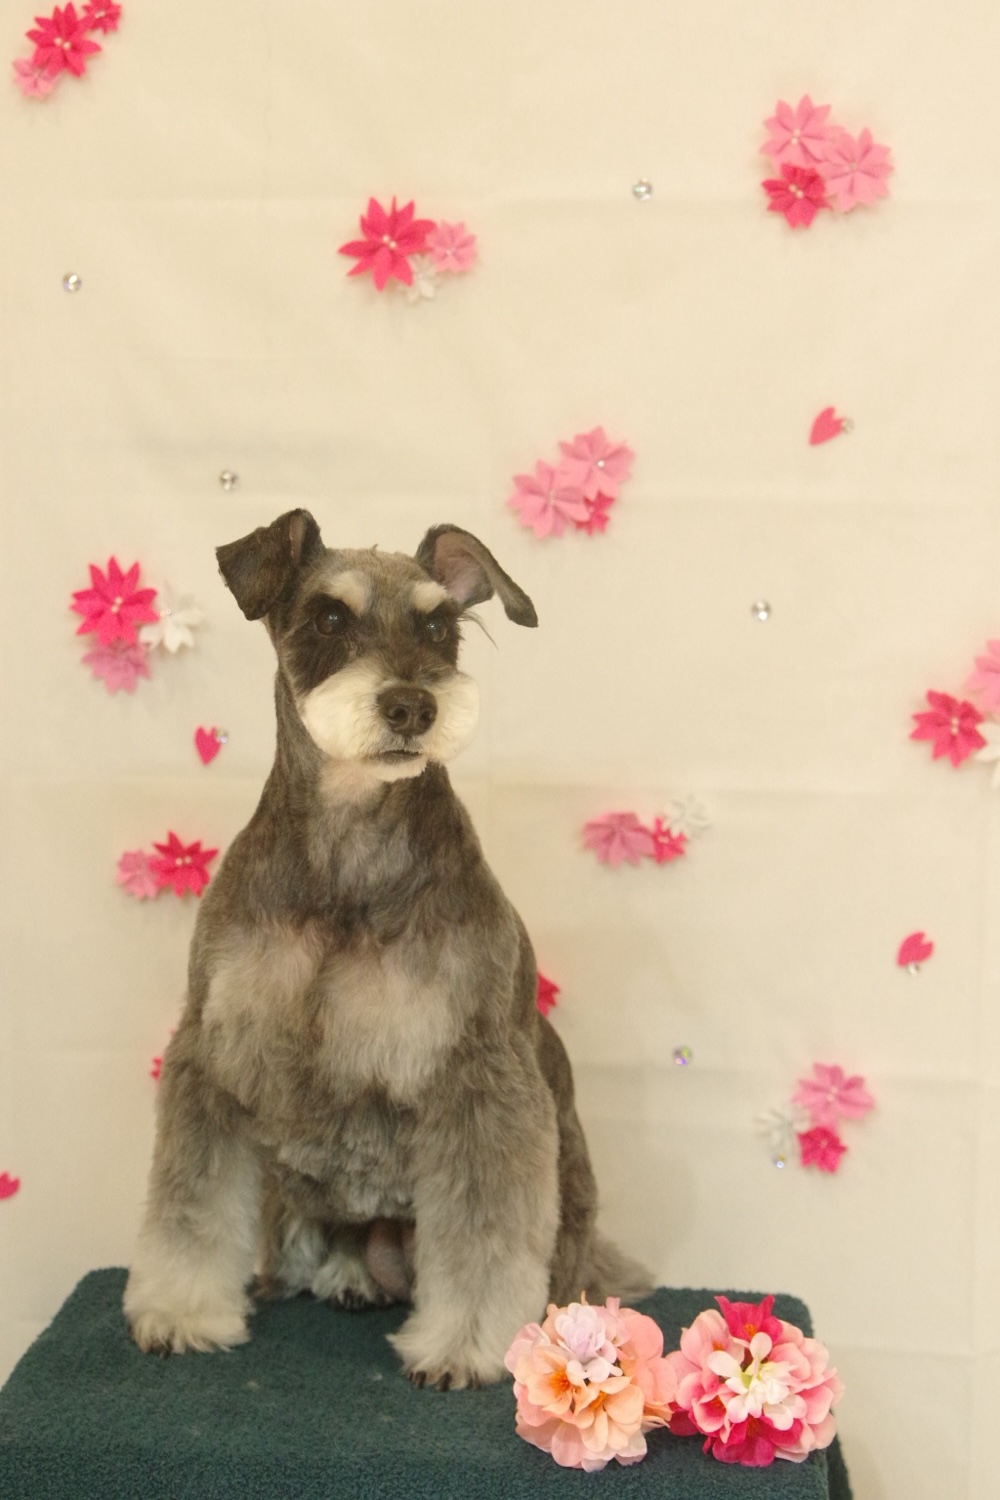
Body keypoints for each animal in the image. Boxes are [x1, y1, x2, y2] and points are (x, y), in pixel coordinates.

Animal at [124, 509, 650, 1388]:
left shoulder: (479, 1074)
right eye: (329, 619)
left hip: (567, 1215)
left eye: (440, 627)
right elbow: (192, 1201)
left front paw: (467, 1346)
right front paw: (180, 1311)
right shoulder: (217, 1048)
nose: (411, 706)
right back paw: (339, 1273)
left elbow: (484, 1230)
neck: (348, 849)